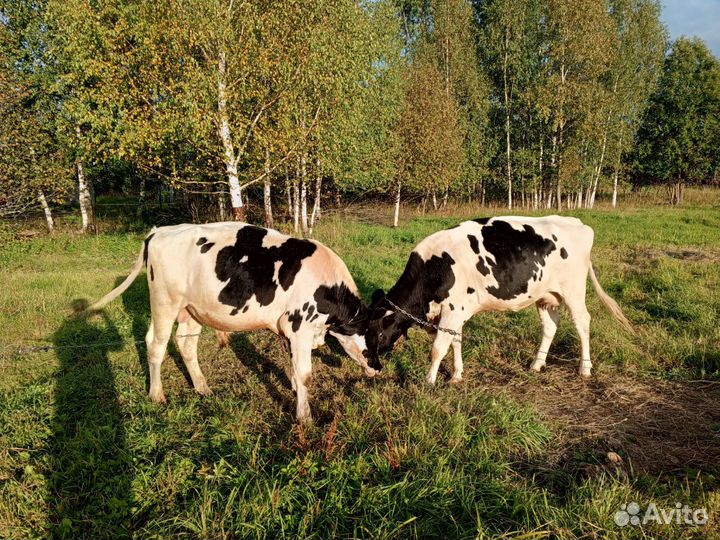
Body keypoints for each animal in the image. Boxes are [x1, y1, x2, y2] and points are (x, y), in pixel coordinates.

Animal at [87, 222, 380, 424]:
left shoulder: (288, 329)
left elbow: (294, 367)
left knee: (186, 345)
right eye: (376, 337)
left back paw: (202, 387)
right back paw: (157, 394)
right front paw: (305, 417)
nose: (378, 368)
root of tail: (160, 231)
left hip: (192, 310)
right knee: (156, 346)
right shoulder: (300, 326)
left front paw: (295, 389)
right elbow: (305, 372)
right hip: (164, 303)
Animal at [366, 216, 633, 383]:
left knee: (583, 323)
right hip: (545, 296)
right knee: (550, 326)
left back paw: (584, 368)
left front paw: (428, 381)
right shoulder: (457, 311)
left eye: (378, 332)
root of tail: (578, 223)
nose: (373, 366)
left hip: (574, 291)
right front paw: (457, 375)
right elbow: (456, 342)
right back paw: (537, 364)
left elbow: (438, 348)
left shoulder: (453, 310)